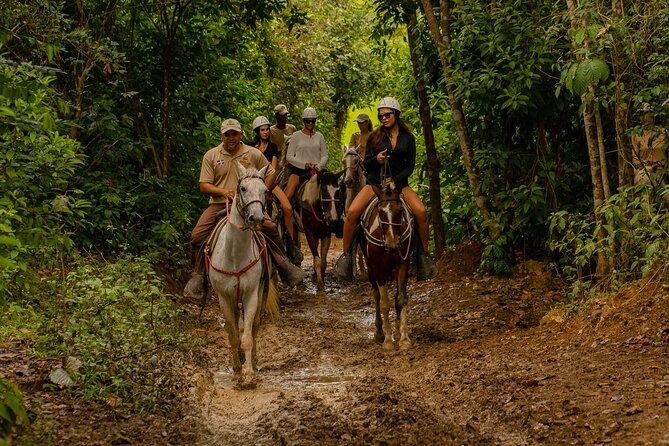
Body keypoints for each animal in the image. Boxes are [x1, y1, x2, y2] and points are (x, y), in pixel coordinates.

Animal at [204, 162, 276, 388]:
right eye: (243, 188)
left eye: (265, 190)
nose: (257, 218)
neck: (235, 254)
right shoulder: (224, 298)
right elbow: (233, 335)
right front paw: (236, 372)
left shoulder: (251, 295)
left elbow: (247, 337)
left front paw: (249, 374)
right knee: (234, 327)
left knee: (253, 327)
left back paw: (253, 361)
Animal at [360, 181, 412, 352]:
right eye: (380, 211)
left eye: (400, 210)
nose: (392, 245)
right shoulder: (378, 267)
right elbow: (384, 303)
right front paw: (388, 340)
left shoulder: (403, 263)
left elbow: (400, 299)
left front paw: (403, 338)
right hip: (370, 267)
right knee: (376, 295)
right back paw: (379, 333)